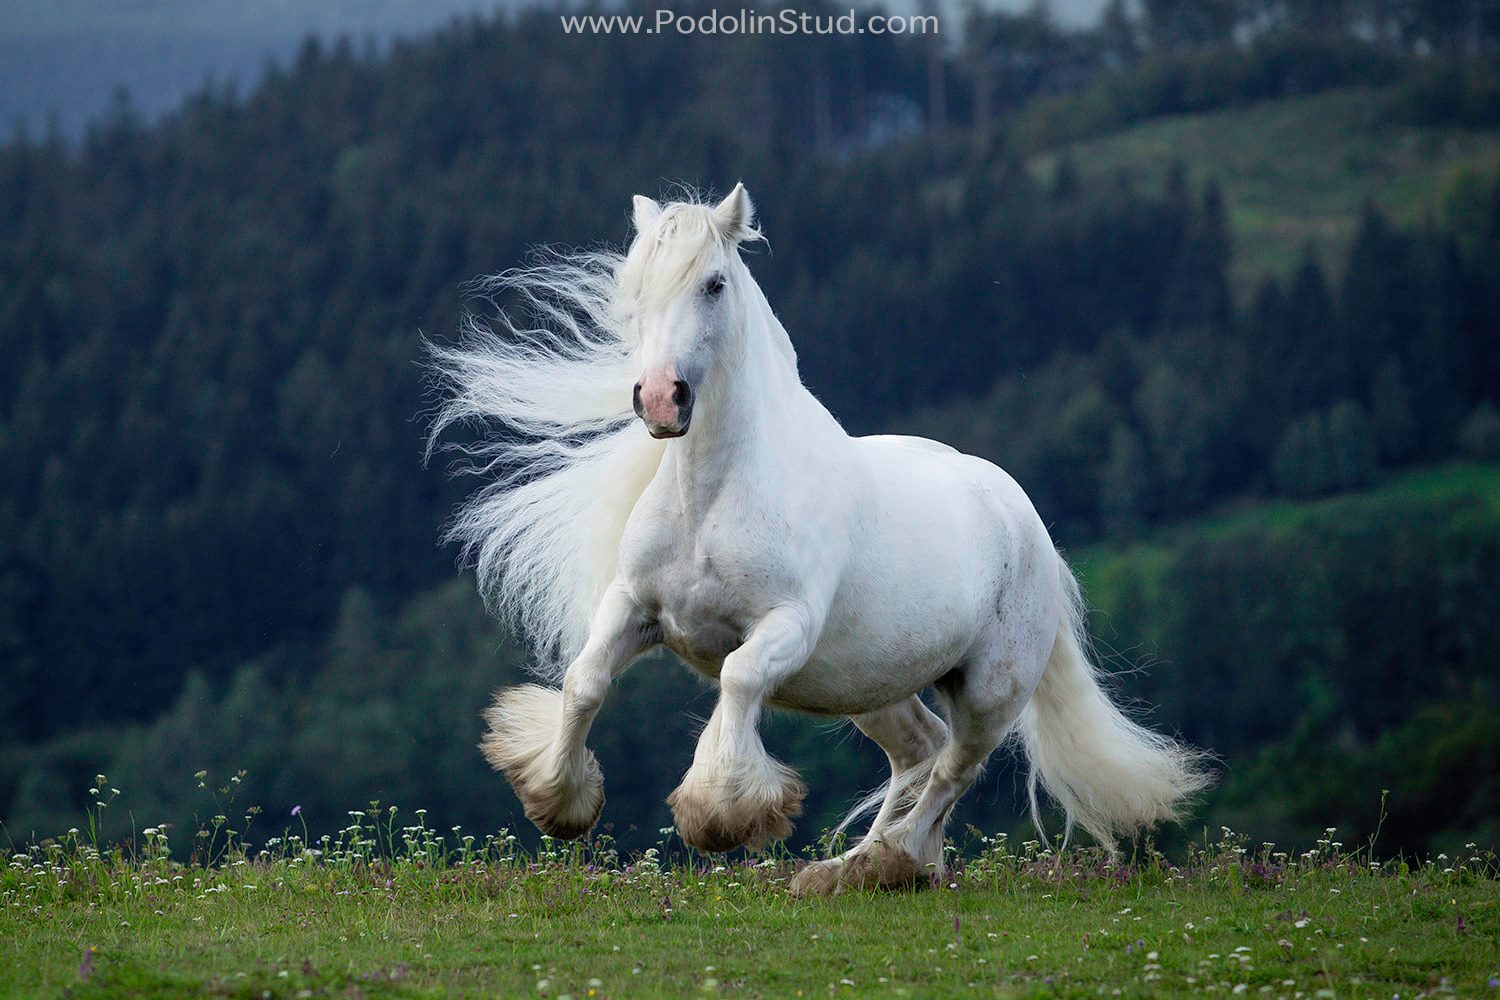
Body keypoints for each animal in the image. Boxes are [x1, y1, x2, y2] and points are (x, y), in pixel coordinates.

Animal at [429, 183, 1212, 893]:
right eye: (633, 285)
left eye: (713, 283)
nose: (659, 399)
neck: (711, 496)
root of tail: (1025, 519)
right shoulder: (635, 607)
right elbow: (585, 680)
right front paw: (559, 802)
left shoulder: (785, 627)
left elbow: (737, 683)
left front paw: (719, 815)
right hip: (871, 684)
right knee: (921, 752)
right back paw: (861, 870)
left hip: (991, 688)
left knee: (953, 770)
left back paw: (879, 863)